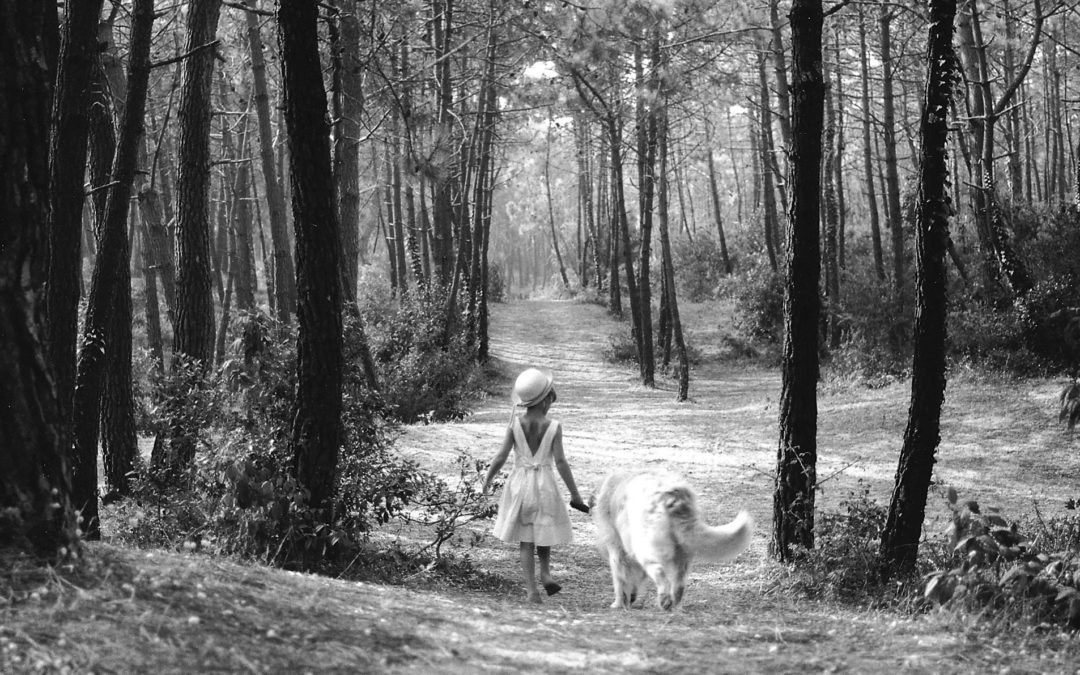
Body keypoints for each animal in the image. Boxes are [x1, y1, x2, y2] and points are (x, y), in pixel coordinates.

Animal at [591, 468, 751, 609]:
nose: (631, 599)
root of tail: (674, 498)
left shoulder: (615, 549)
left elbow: (619, 578)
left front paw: (617, 603)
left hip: (645, 550)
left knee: (659, 572)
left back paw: (664, 599)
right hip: (683, 550)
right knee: (679, 582)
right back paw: (673, 603)